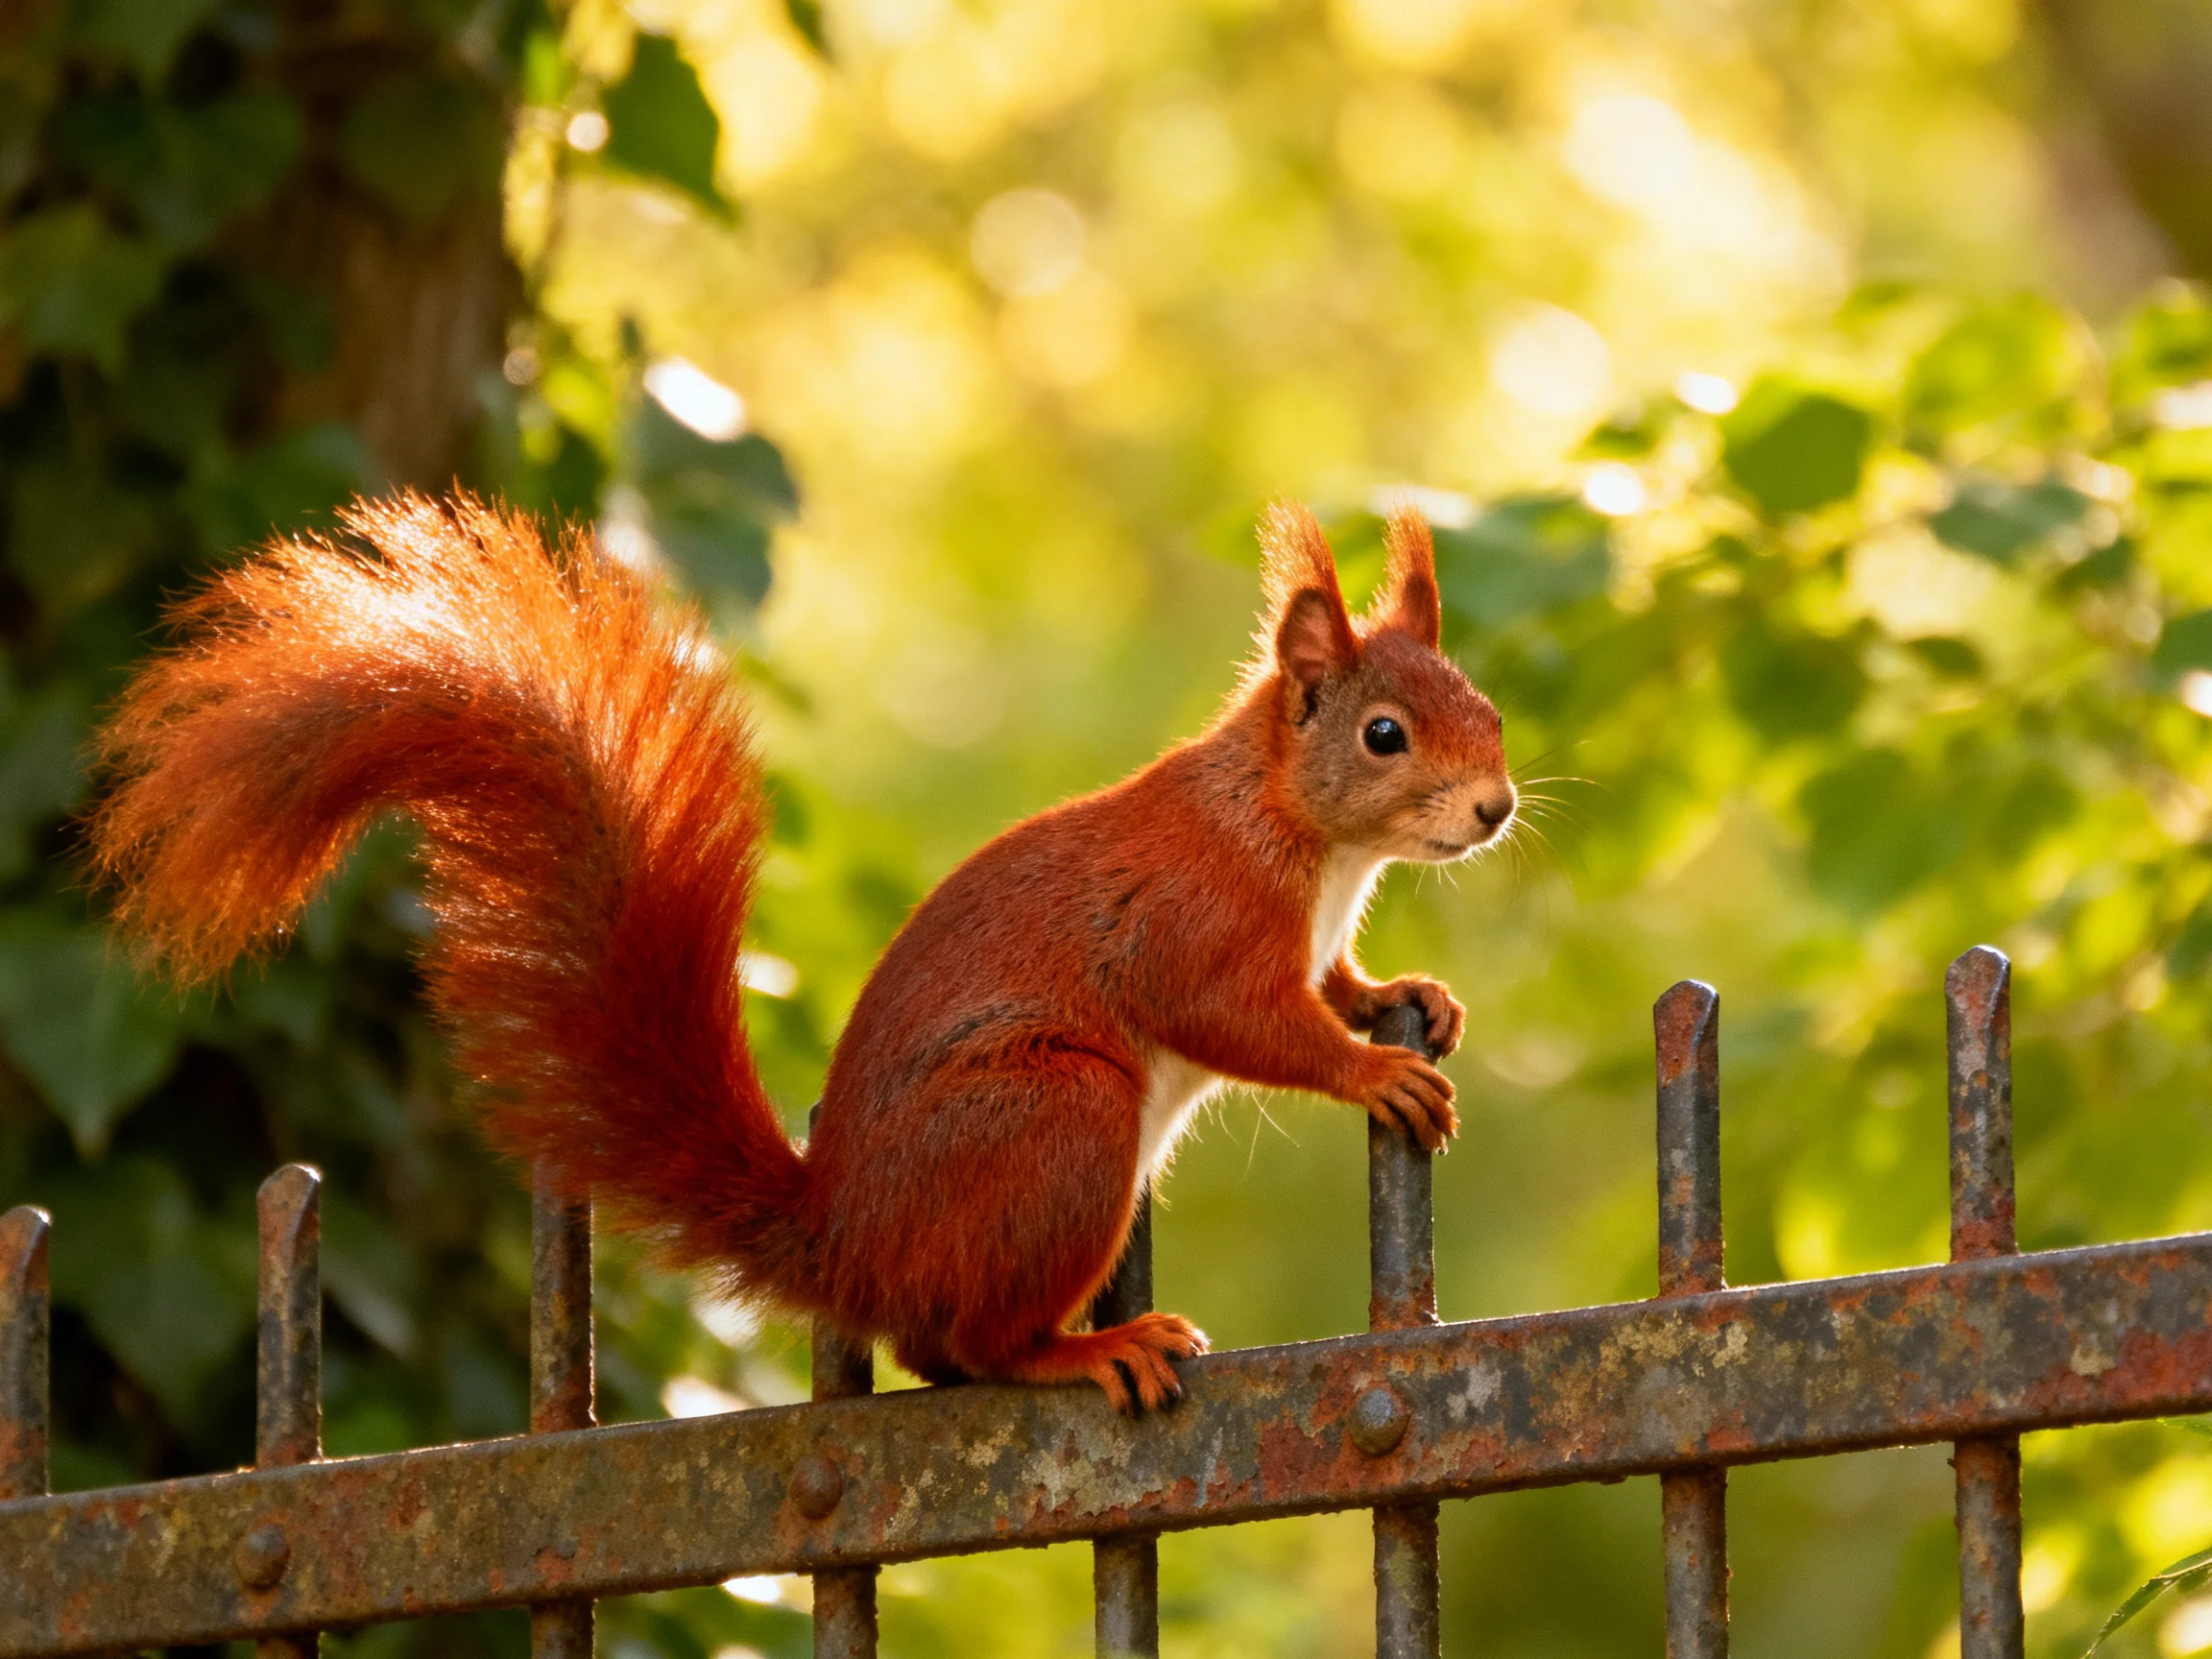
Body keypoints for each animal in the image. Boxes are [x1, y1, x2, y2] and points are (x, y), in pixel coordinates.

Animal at [87, 492, 1514, 1413]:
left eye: (1490, 712)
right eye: (1386, 735)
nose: (1497, 808)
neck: (1306, 838)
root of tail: (845, 1242)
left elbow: (1331, 988)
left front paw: (1405, 999)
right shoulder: (1193, 920)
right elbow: (1246, 1020)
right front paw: (1373, 1072)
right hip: (1055, 1116)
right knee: (957, 1348)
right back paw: (1076, 1351)